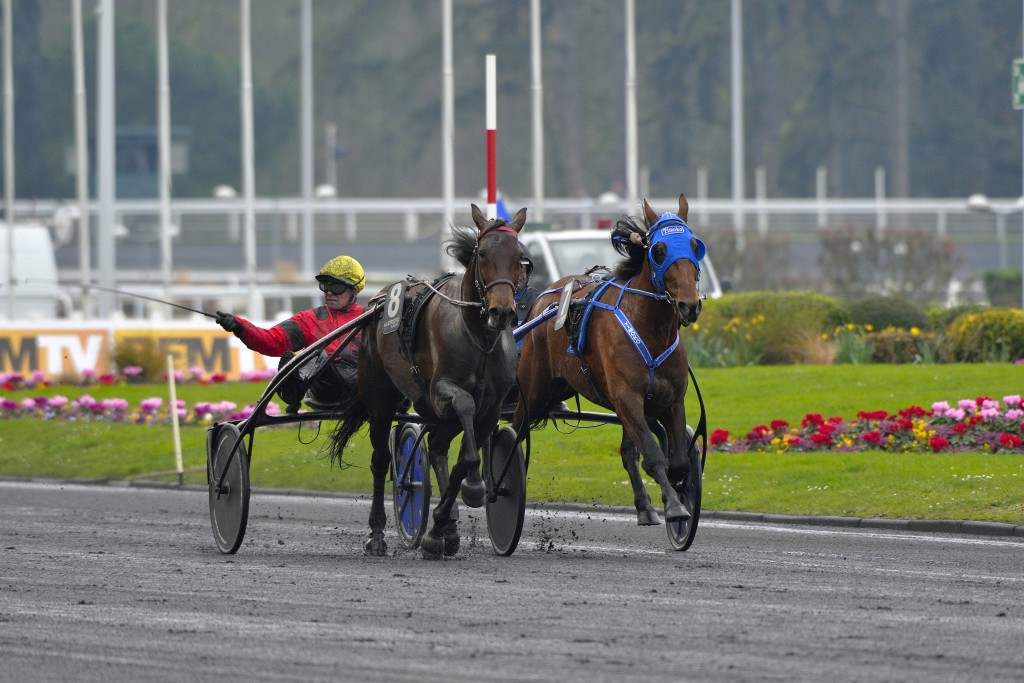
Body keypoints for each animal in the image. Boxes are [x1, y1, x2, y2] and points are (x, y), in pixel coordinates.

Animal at [512, 193, 704, 528]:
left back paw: (645, 507)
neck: (649, 328)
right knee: (511, 431)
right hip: (533, 390)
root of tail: (541, 301)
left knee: (629, 451)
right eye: (659, 250)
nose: (689, 305)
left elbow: (676, 460)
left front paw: (678, 495)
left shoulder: (670, 398)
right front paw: (674, 507)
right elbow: (653, 455)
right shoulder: (627, 396)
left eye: (695, 245)